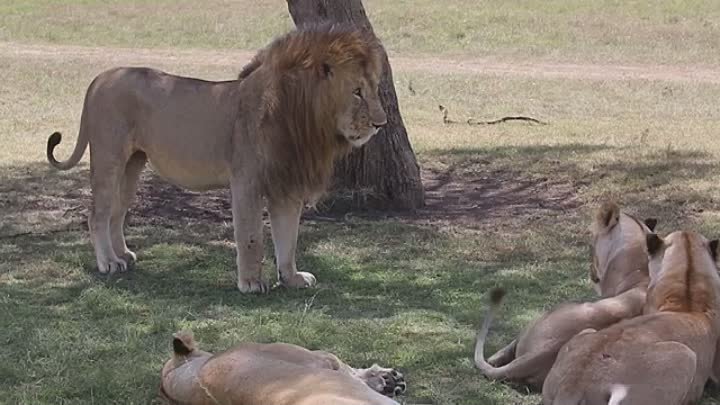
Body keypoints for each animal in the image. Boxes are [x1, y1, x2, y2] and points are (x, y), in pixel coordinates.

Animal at [45, 23, 388, 292]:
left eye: (374, 89)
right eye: (357, 92)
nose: (381, 124)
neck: (304, 120)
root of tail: (100, 77)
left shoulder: (286, 184)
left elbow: (288, 238)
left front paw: (291, 278)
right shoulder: (247, 181)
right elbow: (251, 236)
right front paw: (251, 283)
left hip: (133, 164)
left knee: (117, 212)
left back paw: (124, 255)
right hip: (109, 158)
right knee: (98, 214)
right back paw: (108, 262)